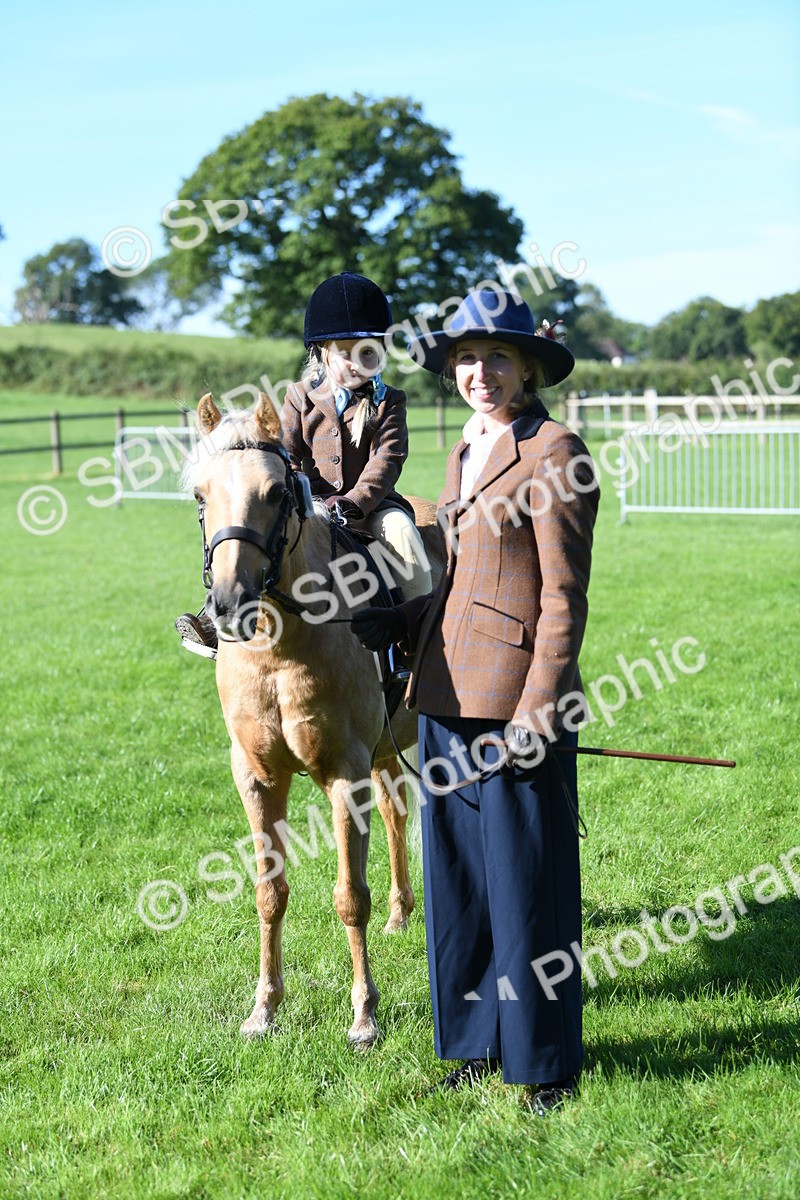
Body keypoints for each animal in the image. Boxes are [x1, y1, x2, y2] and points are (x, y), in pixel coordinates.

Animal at [182, 391, 445, 1047]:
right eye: (201, 495)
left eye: (277, 492)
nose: (228, 604)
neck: (281, 647)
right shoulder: (257, 777)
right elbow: (269, 893)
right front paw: (263, 1009)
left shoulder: (343, 775)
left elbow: (350, 896)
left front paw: (364, 1016)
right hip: (386, 750)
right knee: (396, 813)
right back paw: (402, 914)